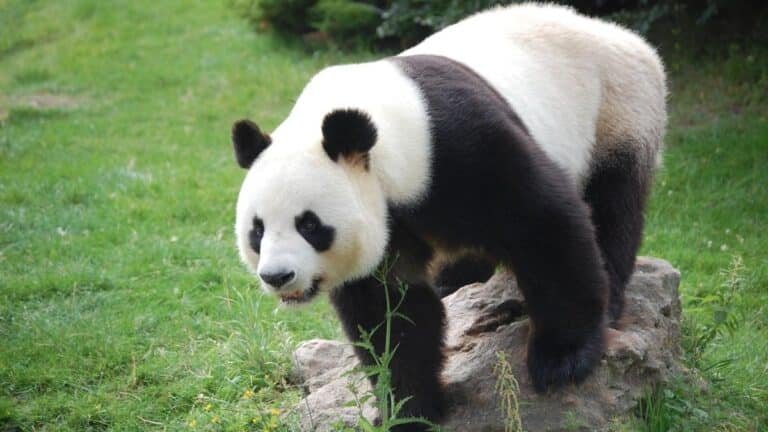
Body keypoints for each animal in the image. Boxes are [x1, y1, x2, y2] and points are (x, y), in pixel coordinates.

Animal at [232, 3, 666, 429]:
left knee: (611, 206)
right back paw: (454, 281)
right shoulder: (390, 224)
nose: (277, 276)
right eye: (257, 231)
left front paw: (562, 360)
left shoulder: (458, 147)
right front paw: (410, 408)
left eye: (309, 224)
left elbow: (544, 224)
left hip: (617, 110)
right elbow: (391, 311)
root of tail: (616, 33)